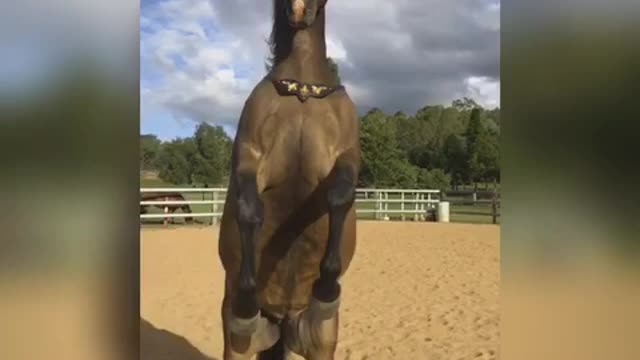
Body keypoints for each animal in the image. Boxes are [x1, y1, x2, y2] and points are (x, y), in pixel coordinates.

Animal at [219, 1, 360, 358]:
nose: (298, 9)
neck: (303, 90)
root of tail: (282, 319)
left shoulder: (347, 156)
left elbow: (339, 197)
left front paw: (326, 289)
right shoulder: (251, 156)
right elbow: (249, 210)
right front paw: (246, 306)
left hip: (317, 344)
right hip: (239, 347)